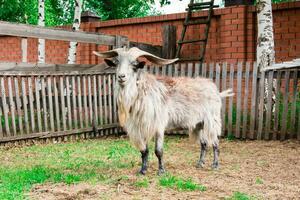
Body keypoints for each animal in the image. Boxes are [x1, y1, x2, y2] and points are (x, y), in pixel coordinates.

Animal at [92, 47, 233, 175]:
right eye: (117, 63)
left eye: (134, 65)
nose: (121, 77)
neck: (143, 93)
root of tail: (216, 91)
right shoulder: (140, 127)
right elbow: (144, 151)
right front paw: (143, 170)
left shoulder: (158, 126)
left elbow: (158, 151)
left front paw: (161, 171)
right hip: (199, 124)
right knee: (204, 143)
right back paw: (200, 163)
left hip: (212, 121)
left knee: (215, 143)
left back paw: (215, 165)